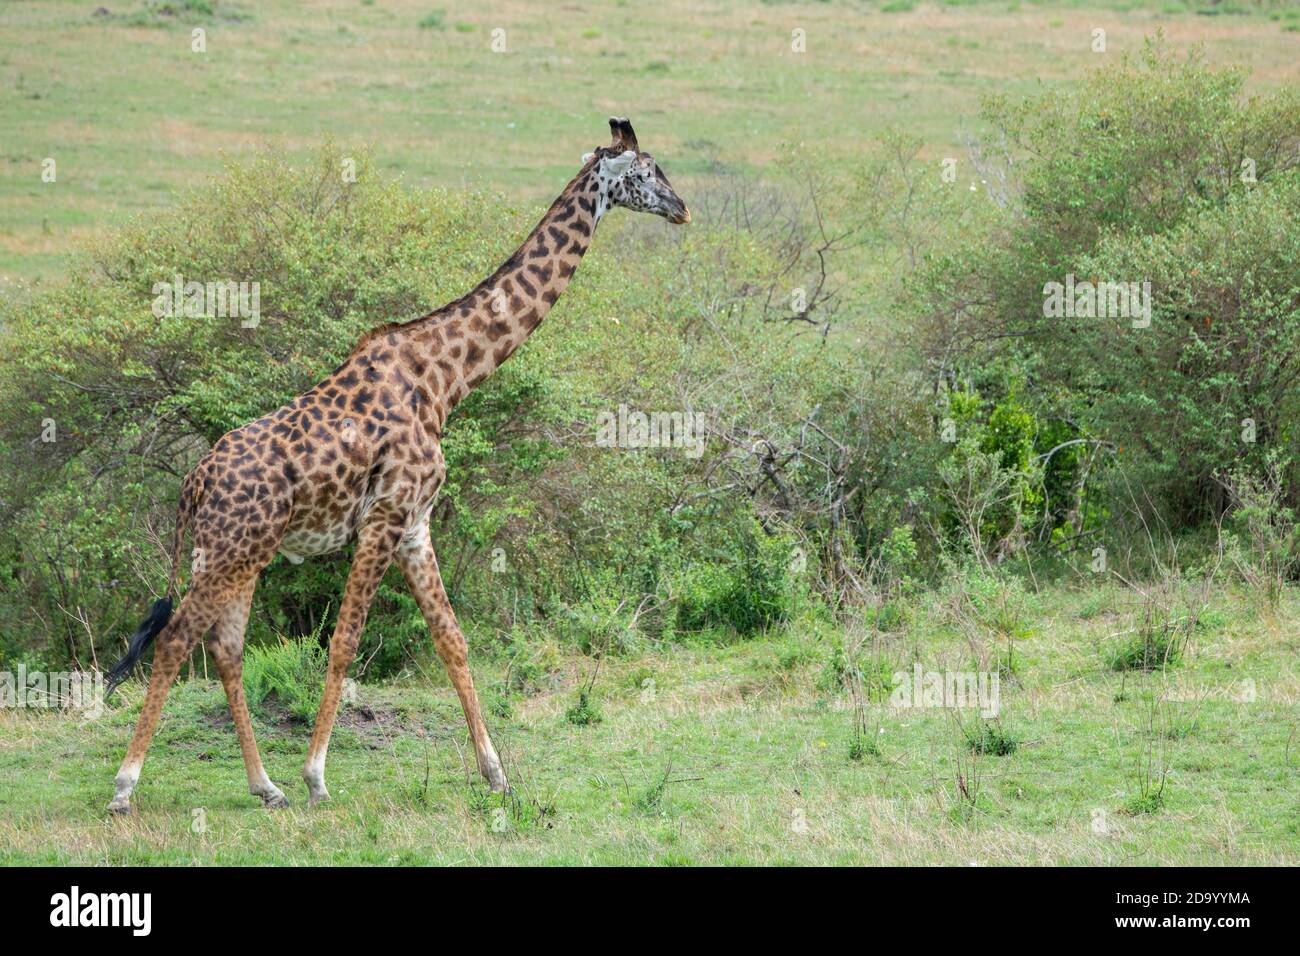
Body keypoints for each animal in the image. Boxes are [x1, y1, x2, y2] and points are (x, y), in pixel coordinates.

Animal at [103, 118, 689, 813]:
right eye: (645, 171)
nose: (682, 208)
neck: (446, 377)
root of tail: (192, 483)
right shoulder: (383, 517)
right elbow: (344, 641)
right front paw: (317, 775)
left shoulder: (414, 524)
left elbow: (452, 640)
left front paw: (496, 773)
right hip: (228, 553)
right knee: (174, 642)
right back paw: (126, 786)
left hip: (235, 555)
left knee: (225, 648)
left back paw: (264, 786)